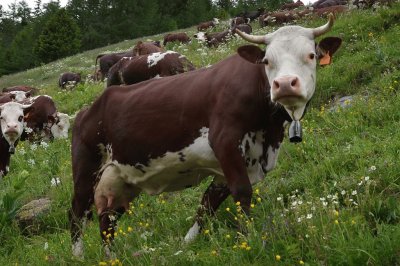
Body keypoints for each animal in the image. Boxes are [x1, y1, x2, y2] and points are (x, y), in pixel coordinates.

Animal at [70, 13, 342, 256]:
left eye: (311, 55)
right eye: (267, 61)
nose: (284, 84)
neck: (269, 131)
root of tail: (87, 109)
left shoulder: (235, 162)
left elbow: (207, 204)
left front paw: (188, 242)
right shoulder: (225, 142)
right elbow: (242, 193)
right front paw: (249, 239)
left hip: (120, 177)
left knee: (107, 217)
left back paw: (111, 257)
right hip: (86, 170)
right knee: (77, 213)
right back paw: (78, 256)